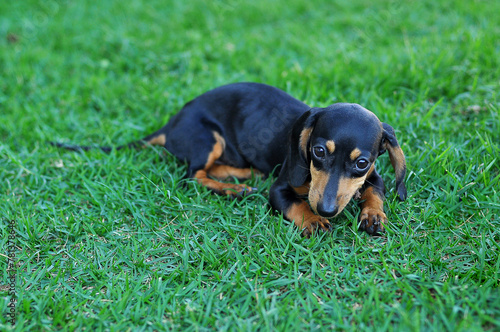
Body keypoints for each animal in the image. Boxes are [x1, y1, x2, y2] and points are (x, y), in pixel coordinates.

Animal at [54, 82, 406, 236]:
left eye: (361, 163)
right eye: (318, 152)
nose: (327, 209)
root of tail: (170, 124)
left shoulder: (373, 175)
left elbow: (375, 190)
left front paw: (374, 214)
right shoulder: (279, 189)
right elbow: (294, 204)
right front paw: (312, 220)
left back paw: (243, 176)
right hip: (207, 137)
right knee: (193, 176)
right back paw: (234, 189)